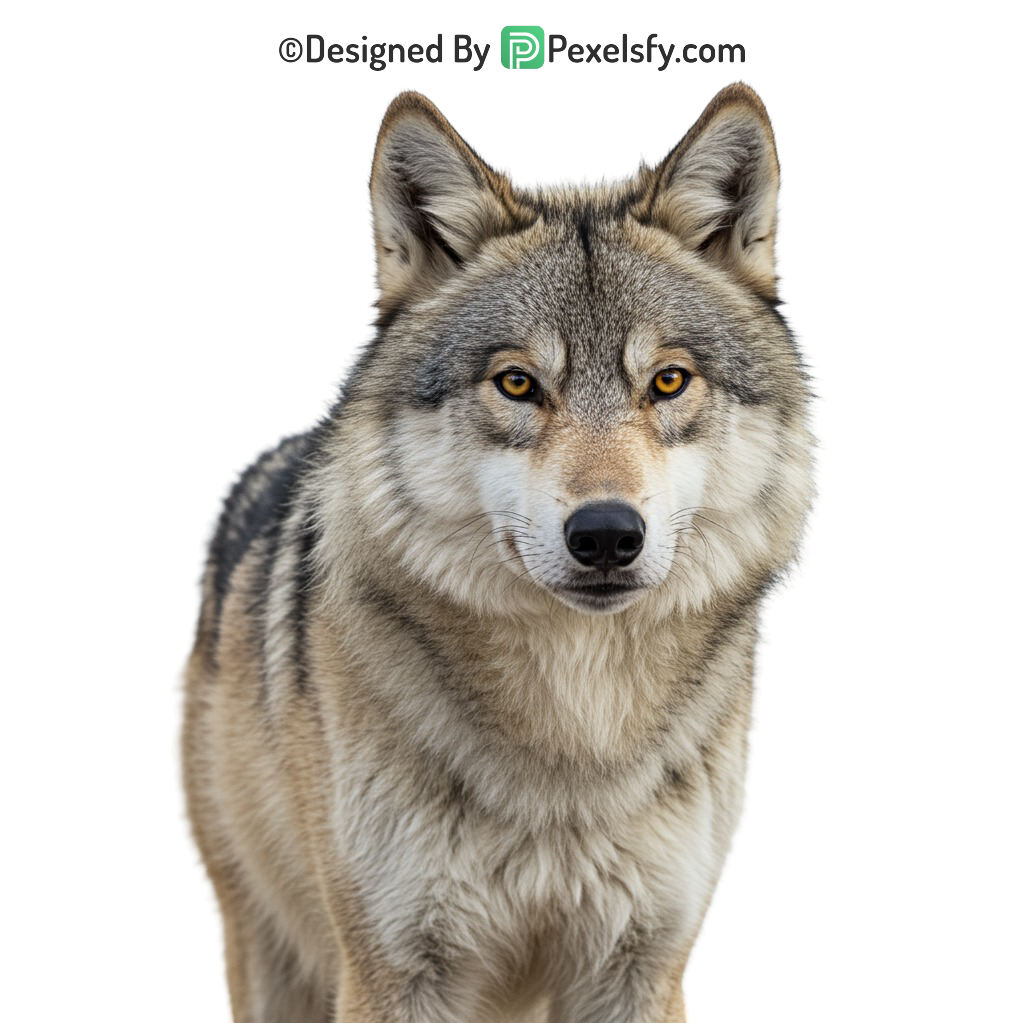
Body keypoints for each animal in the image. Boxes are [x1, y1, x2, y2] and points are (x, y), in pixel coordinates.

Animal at [171, 79, 826, 1022]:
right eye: (518, 383)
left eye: (668, 380)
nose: (605, 534)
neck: (575, 737)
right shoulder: (394, 974)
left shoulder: (643, 969)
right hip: (267, 953)